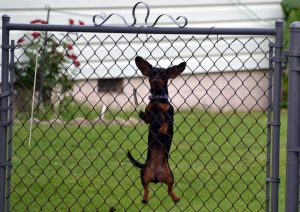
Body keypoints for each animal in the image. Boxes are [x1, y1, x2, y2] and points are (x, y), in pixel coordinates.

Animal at [127, 56, 186, 204]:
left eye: (164, 75)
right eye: (152, 74)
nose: (156, 81)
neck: (158, 99)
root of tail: (156, 177)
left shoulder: (170, 116)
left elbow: (166, 121)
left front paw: (163, 129)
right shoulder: (150, 114)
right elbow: (148, 116)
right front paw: (143, 115)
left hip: (170, 176)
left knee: (169, 189)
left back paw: (176, 197)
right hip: (144, 175)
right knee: (146, 188)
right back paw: (145, 198)